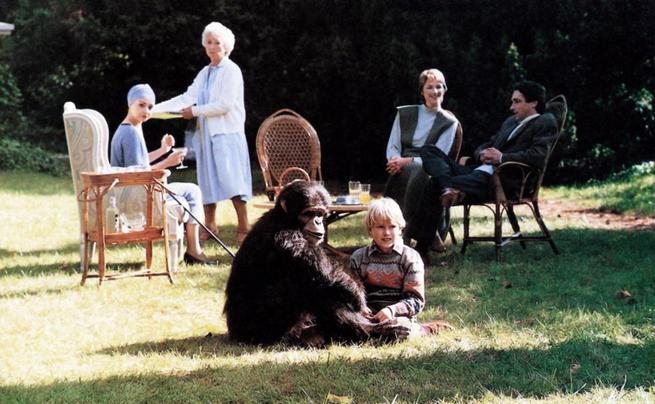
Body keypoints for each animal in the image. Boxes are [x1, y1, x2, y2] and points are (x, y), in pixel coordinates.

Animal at [226, 181, 410, 348]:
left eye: (320, 214)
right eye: (308, 213)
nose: (317, 222)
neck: (286, 220)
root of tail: (235, 335)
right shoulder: (288, 238)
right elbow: (327, 276)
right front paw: (358, 294)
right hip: (271, 331)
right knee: (318, 288)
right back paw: (377, 332)